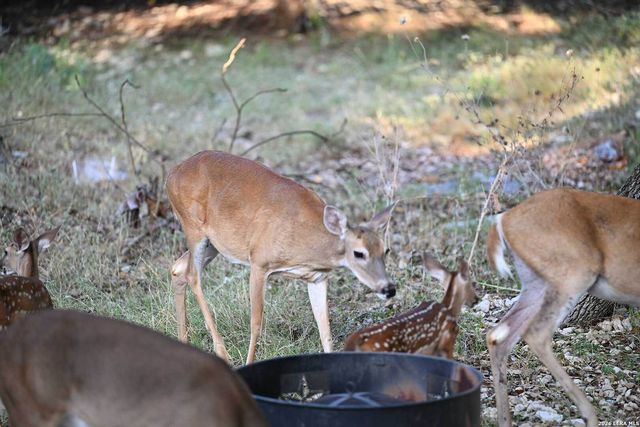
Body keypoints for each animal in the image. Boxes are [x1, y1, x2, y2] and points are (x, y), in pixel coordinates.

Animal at [167, 150, 395, 364]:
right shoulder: (259, 261)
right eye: (359, 253)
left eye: (386, 250)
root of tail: (172, 173)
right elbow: (256, 323)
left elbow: (325, 330)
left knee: (178, 268)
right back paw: (222, 353)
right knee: (193, 275)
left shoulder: (317, 278)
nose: (389, 289)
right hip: (194, 227)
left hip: (214, 243)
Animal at [486, 187, 640, 427]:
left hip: (537, 283)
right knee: (536, 333)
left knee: (498, 335)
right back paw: (590, 415)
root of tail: (504, 220)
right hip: (573, 273)